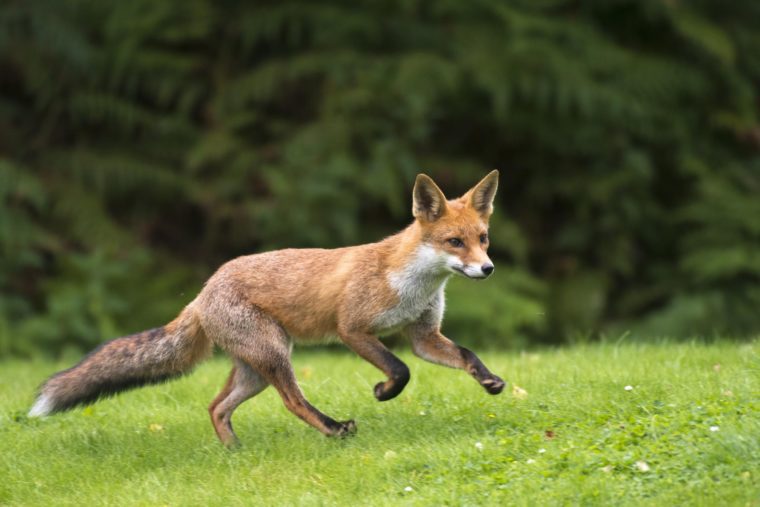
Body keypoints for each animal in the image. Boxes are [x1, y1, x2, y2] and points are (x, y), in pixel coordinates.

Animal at [29, 171, 506, 446]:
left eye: (482, 238)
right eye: (454, 242)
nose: (487, 269)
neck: (412, 282)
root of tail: (203, 291)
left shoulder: (424, 335)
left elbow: (465, 355)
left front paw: (489, 380)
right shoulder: (352, 329)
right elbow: (401, 369)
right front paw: (383, 392)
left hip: (255, 369)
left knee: (216, 407)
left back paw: (234, 453)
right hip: (276, 356)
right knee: (292, 402)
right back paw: (333, 429)